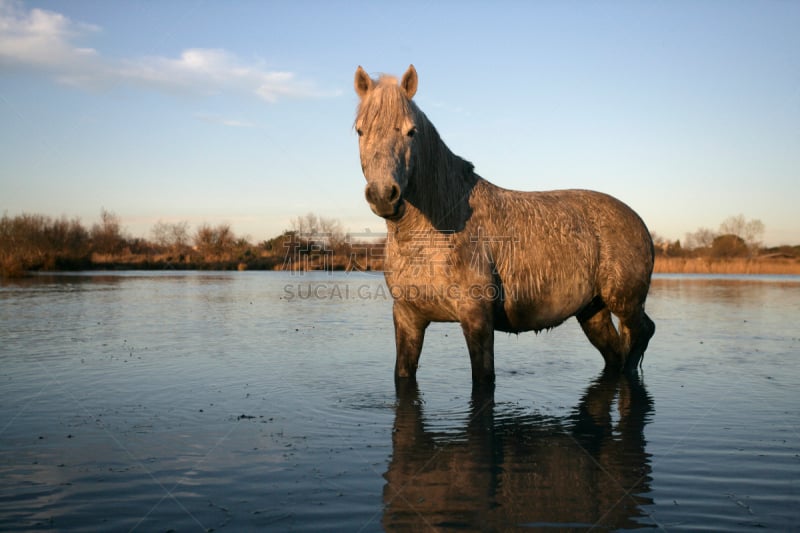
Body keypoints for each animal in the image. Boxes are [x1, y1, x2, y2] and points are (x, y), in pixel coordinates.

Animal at [354, 64, 652, 384]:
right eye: (360, 130)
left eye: (411, 132)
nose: (384, 195)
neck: (433, 236)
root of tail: (637, 221)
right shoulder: (408, 318)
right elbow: (403, 374)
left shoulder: (477, 320)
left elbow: (483, 378)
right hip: (592, 311)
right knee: (615, 354)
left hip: (626, 305)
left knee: (640, 337)